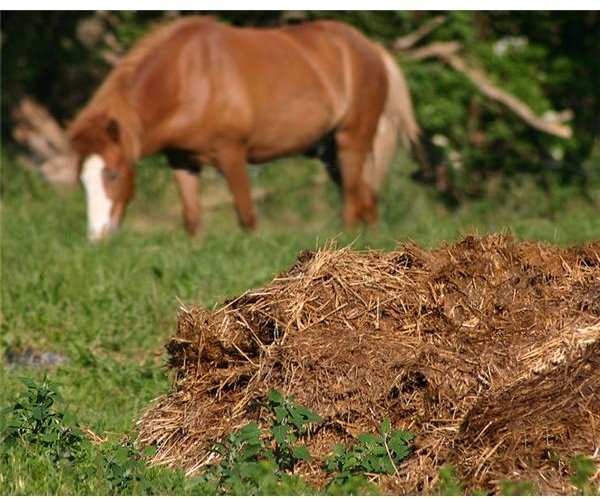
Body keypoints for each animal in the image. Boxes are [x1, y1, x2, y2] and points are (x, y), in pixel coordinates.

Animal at [67, 15, 422, 241]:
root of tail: (372, 48)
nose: (97, 236)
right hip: (330, 152)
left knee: (351, 201)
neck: (188, 76)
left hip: (352, 142)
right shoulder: (183, 161)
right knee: (366, 198)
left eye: (113, 174)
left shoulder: (232, 154)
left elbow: (247, 216)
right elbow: (192, 219)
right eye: (82, 180)